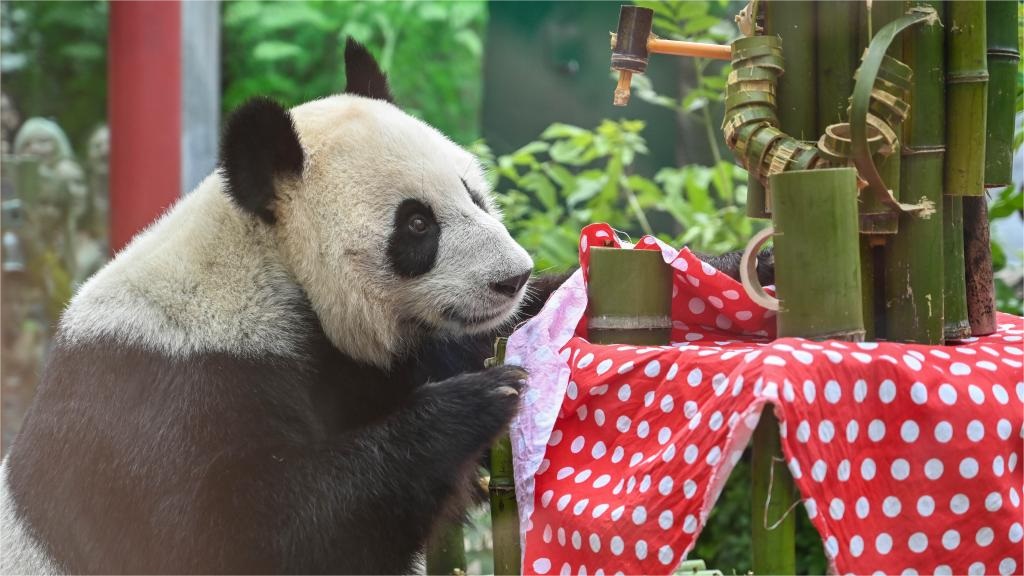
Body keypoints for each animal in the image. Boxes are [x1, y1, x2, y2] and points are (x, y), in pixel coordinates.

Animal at [2, 40, 536, 573]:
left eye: (474, 195)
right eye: (417, 224)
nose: (515, 277)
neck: (267, 261)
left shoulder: (359, 366)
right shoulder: (164, 394)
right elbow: (247, 534)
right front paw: (479, 399)